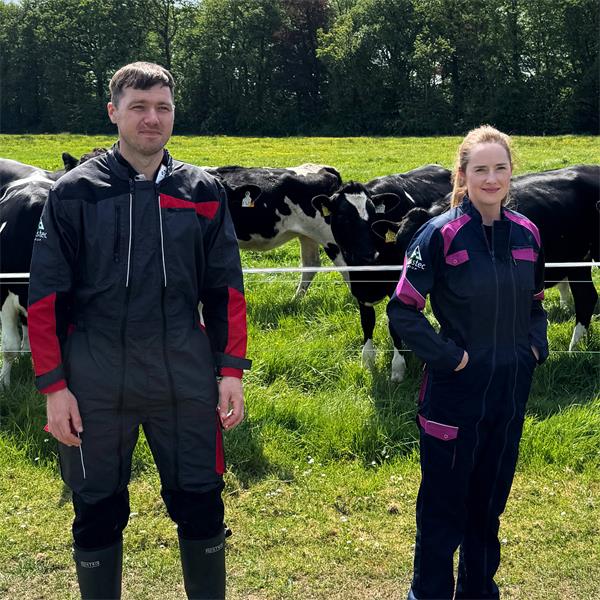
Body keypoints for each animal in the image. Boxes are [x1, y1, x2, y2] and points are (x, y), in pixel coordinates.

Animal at [312, 165, 452, 381]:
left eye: (373, 215)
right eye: (343, 217)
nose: (369, 254)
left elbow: (393, 323)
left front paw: (398, 367)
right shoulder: (359, 290)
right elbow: (367, 322)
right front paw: (367, 362)